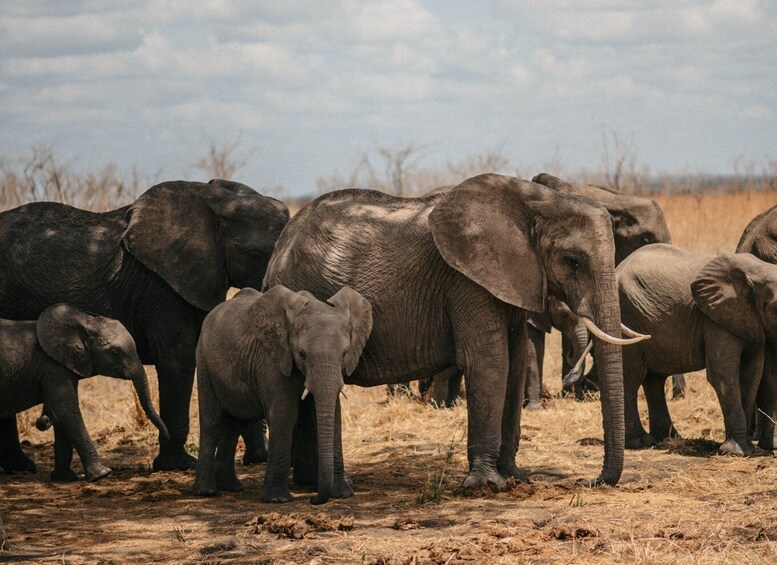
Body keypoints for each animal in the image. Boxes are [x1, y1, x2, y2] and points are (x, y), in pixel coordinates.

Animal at [0, 304, 169, 481]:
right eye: (115, 352)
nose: (167, 436)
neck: (83, 320)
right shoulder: (53, 367)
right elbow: (66, 410)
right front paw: (101, 474)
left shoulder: (63, 367)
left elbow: (59, 413)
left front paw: (65, 478)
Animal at [193, 285, 372, 505]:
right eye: (302, 354)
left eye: (345, 353)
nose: (313, 499)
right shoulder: (272, 360)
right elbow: (284, 413)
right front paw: (276, 499)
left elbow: (335, 415)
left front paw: (342, 493)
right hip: (203, 361)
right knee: (212, 420)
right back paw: (206, 491)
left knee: (235, 421)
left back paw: (232, 487)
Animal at [264, 174, 645, 488]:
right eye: (572, 261)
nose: (588, 481)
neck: (531, 201)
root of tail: (278, 249)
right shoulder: (467, 281)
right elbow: (490, 363)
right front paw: (487, 485)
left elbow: (515, 364)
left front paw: (515, 477)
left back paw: (310, 484)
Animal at [611, 244, 777, 454]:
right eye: (776, 310)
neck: (757, 271)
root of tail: (618, 268)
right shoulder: (715, 319)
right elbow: (723, 375)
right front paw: (737, 452)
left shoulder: (750, 320)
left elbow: (752, 375)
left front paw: (749, 450)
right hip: (627, 315)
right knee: (633, 376)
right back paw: (640, 443)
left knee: (654, 379)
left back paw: (668, 438)